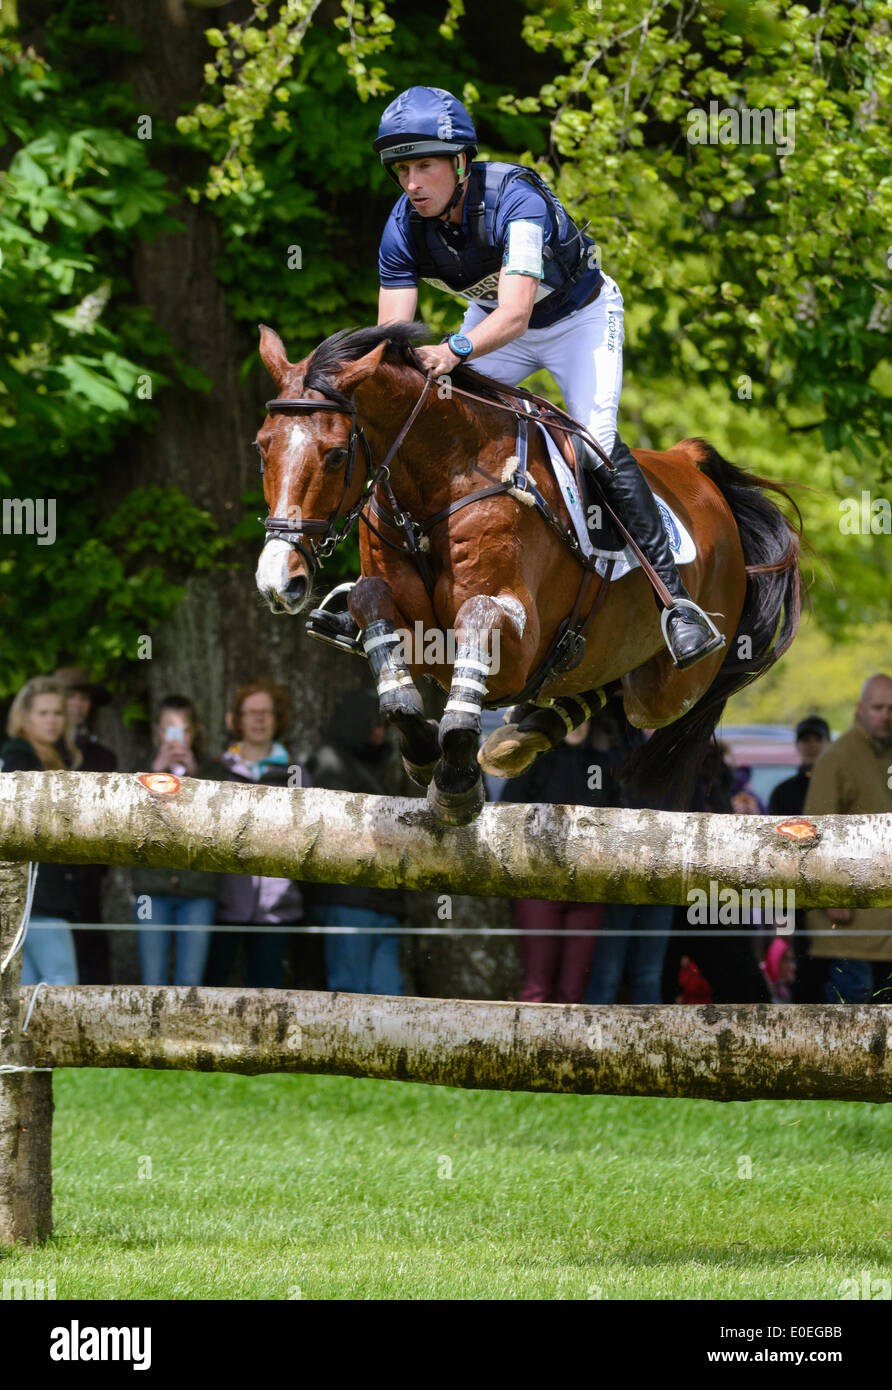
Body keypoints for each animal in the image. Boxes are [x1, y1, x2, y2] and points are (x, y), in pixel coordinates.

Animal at [251, 325, 800, 822]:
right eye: (261, 447)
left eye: (337, 454)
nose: (280, 581)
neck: (440, 480)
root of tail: (690, 464)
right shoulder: (415, 628)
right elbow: (369, 605)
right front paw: (423, 747)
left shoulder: (517, 638)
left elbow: (478, 616)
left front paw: (455, 779)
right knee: (605, 683)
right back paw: (522, 735)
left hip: (670, 688)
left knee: (636, 693)